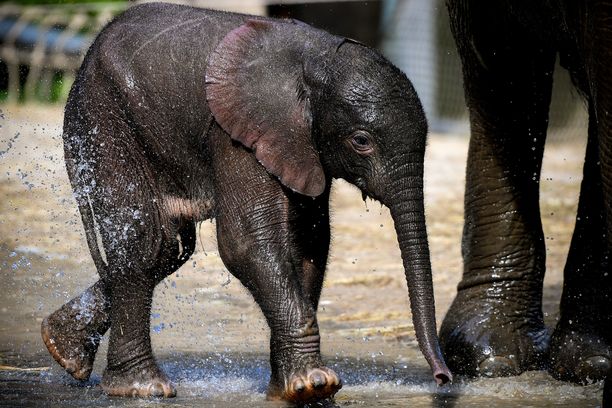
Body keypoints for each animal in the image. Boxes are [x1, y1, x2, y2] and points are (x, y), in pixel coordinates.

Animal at [39, 2, 450, 404]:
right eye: (361, 141)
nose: (443, 378)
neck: (316, 59)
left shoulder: (299, 143)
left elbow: (308, 244)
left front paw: (289, 390)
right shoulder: (236, 132)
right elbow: (248, 242)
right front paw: (316, 383)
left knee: (168, 249)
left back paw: (62, 348)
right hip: (107, 118)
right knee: (147, 241)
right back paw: (141, 387)